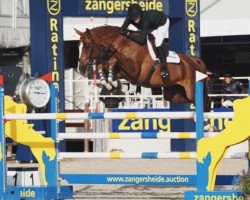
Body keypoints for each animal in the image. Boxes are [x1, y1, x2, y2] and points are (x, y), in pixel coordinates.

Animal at [74, 25, 211, 111]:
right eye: (78, 46)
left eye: (86, 46)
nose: (81, 68)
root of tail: (193, 60)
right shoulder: (123, 72)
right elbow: (104, 66)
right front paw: (109, 84)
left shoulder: (135, 72)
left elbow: (113, 60)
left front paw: (112, 84)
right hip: (175, 95)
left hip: (192, 91)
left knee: (205, 102)